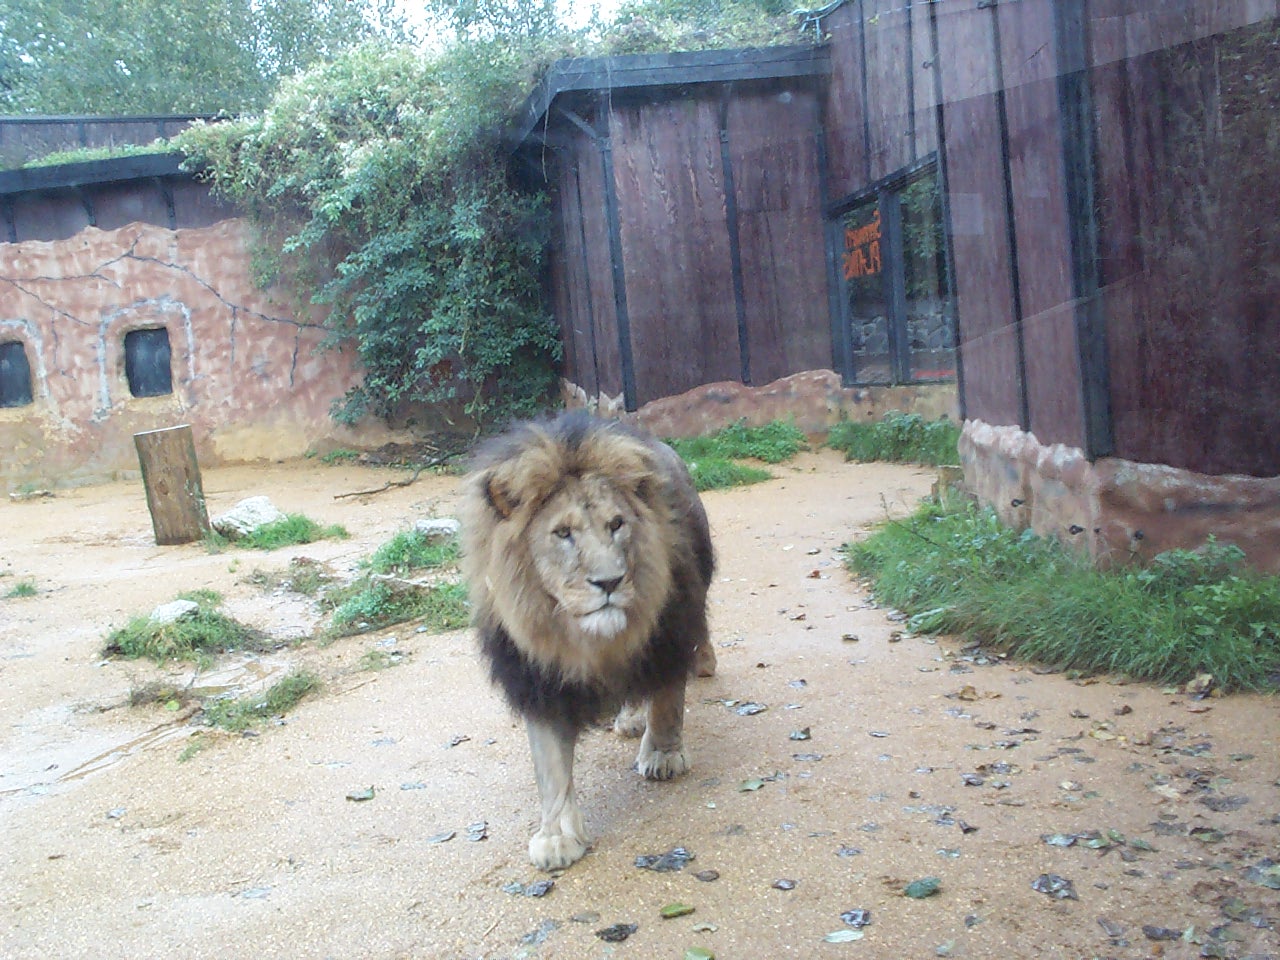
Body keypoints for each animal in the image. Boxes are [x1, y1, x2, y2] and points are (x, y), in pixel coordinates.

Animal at [461, 410, 715, 871]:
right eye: (563, 533)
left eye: (616, 524)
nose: (610, 582)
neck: (586, 641)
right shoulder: (538, 679)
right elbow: (550, 765)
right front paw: (557, 837)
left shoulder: (669, 636)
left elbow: (668, 699)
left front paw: (663, 755)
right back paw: (630, 718)